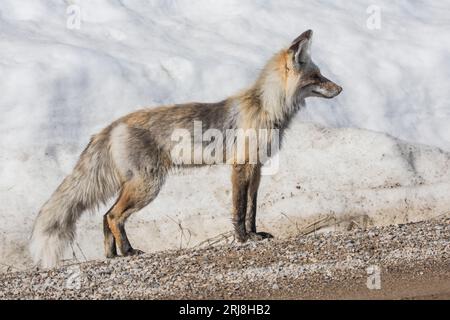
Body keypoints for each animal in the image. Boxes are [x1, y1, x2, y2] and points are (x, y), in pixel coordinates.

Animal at [30, 30, 342, 268]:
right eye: (317, 77)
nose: (340, 89)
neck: (267, 108)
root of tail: (112, 125)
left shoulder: (257, 167)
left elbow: (252, 209)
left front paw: (255, 235)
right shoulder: (240, 166)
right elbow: (239, 209)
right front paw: (242, 239)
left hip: (135, 185)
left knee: (106, 217)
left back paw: (112, 256)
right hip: (148, 185)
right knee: (114, 216)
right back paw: (128, 251)